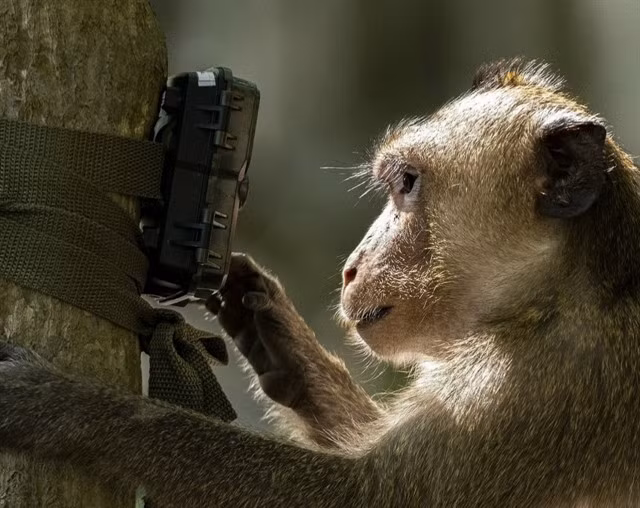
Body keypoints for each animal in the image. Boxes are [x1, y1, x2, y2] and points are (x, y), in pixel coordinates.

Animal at [1, 57, 640, 507]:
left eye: (407, 183)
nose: (353, 265)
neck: (555, 290)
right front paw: (267, 324)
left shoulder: (539, 390)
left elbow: (363, 496)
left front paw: (70, 406)